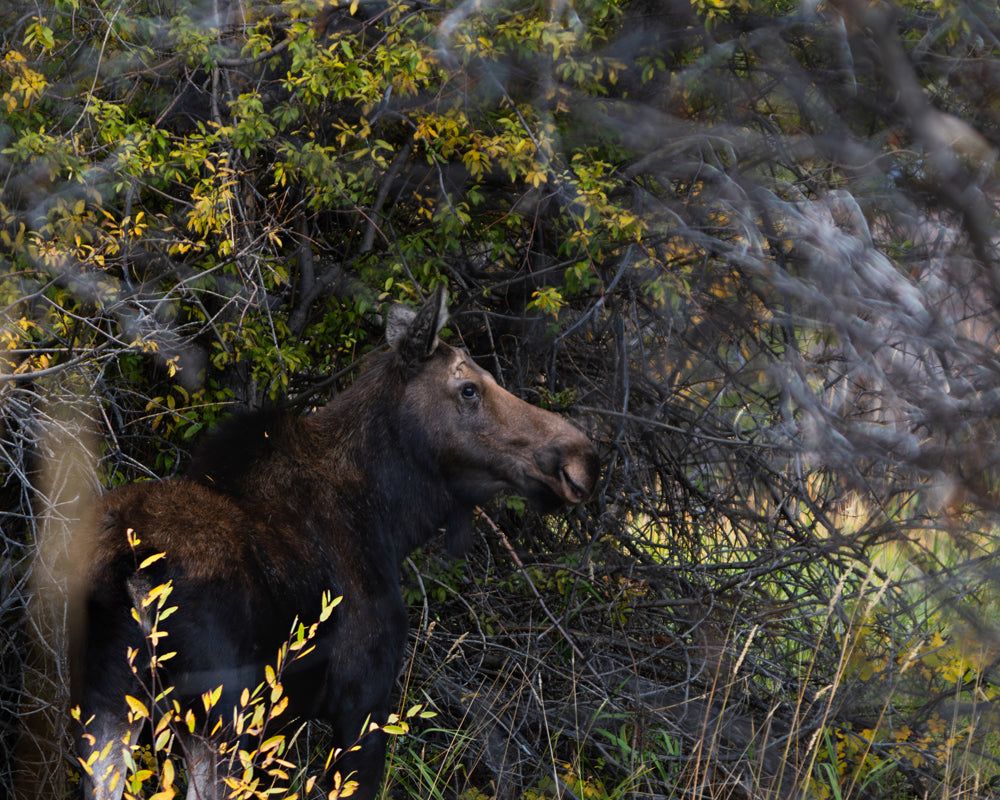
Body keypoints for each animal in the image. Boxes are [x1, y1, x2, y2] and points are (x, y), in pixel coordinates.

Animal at [72, 290, 600, 800]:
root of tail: (126, 566)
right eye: (469, 388)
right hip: (219, 716)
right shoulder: (363, 701)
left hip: (106, 708)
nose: (581, 458)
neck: (389, 522)